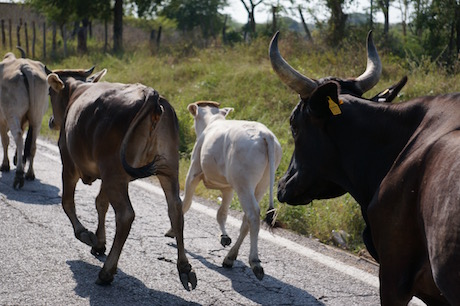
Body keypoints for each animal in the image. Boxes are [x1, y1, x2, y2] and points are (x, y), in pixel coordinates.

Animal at [46, 67, 196, 290]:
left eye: (49, 92)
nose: (51, 121)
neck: (77, 90)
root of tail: (150, 94)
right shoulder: (106, 175)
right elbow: (100, 203)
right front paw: (100, 243)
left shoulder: (69, 163)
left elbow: (67, 202)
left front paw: (86, 235)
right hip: (167, 168)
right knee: (175, 209)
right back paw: (184, 268)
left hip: (114, 171)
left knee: (125, 215)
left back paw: (106, 272)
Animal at [171, 100, 282, 280]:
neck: (213, 121)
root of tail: (265, 134)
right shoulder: (228, 188)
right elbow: (221, 214)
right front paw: (224, 237)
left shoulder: (193, 173)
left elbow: (185, 203)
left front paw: (171, 231)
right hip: (260, 185)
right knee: (247, 220)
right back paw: (230, 257)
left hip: (243, 184)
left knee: (253, 215)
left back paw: (255, 262)